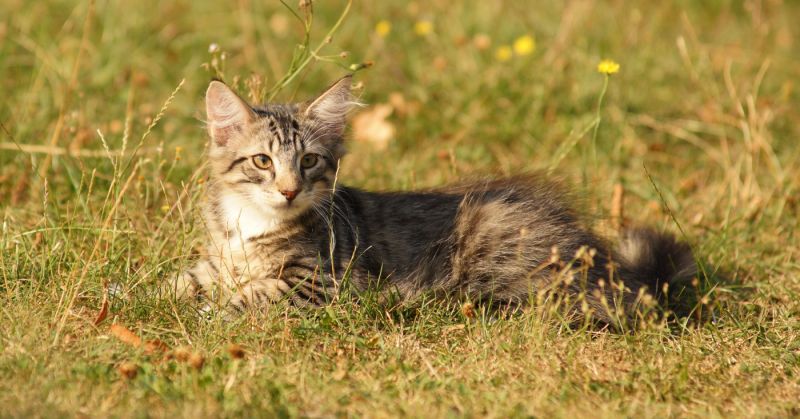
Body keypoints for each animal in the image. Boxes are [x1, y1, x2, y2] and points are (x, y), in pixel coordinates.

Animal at [172, 74, 696, 324]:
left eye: (309, 162)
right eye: (262, 161)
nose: (288, 190)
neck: (251, 224)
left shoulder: (325, 282)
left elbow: (256, 295)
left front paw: (212, 314)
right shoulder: (216, 258)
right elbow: (181, 281)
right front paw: (163, 297)